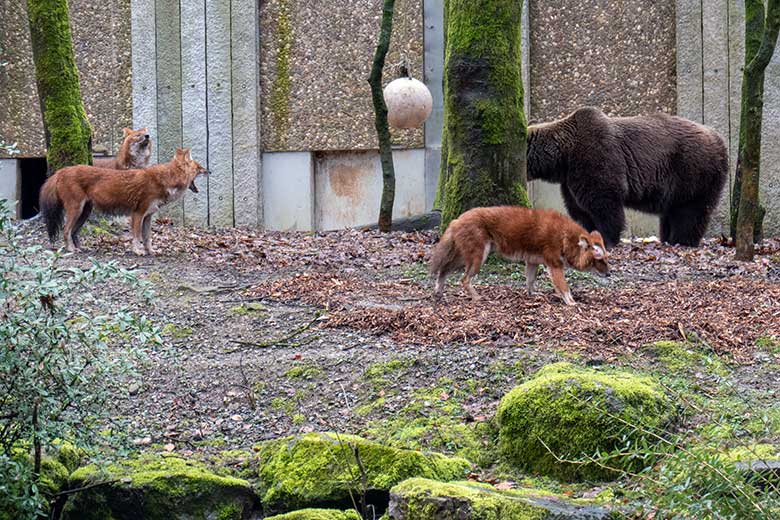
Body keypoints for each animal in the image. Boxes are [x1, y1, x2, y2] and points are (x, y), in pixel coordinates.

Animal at [528, 105, 728, 248]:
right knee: (672, 211)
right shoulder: (570, 180)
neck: (564, 155)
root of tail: (719, 138)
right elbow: (580, 210)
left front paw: (607, 239)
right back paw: (668, 238)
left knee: (691, 210)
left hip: (692, 169)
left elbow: (604, 203)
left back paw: (682, 240)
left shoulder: (596, 157)